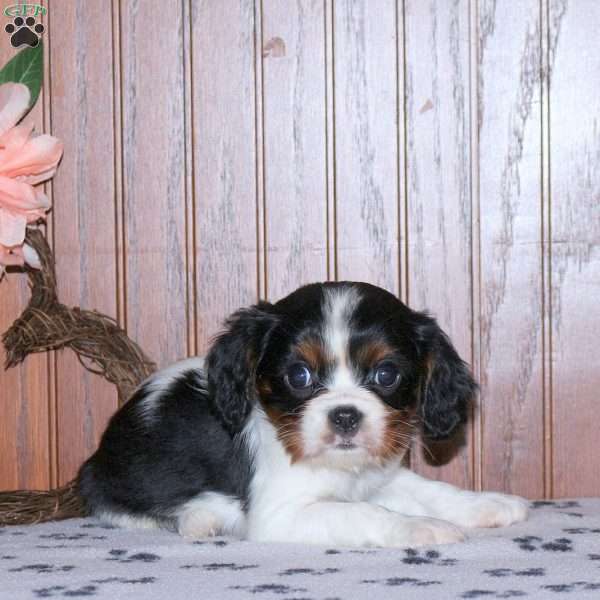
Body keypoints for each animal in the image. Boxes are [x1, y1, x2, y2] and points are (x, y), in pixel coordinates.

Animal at [77, 282, 528, 548]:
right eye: (299, 375)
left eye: (386, 374)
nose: (345, 416)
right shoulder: (281, 516)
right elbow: (362, 512)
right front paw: (417, 528)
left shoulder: (378, 478)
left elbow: (430, 490)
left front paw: (487, 504)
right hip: (110, 485)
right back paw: (197, 519)